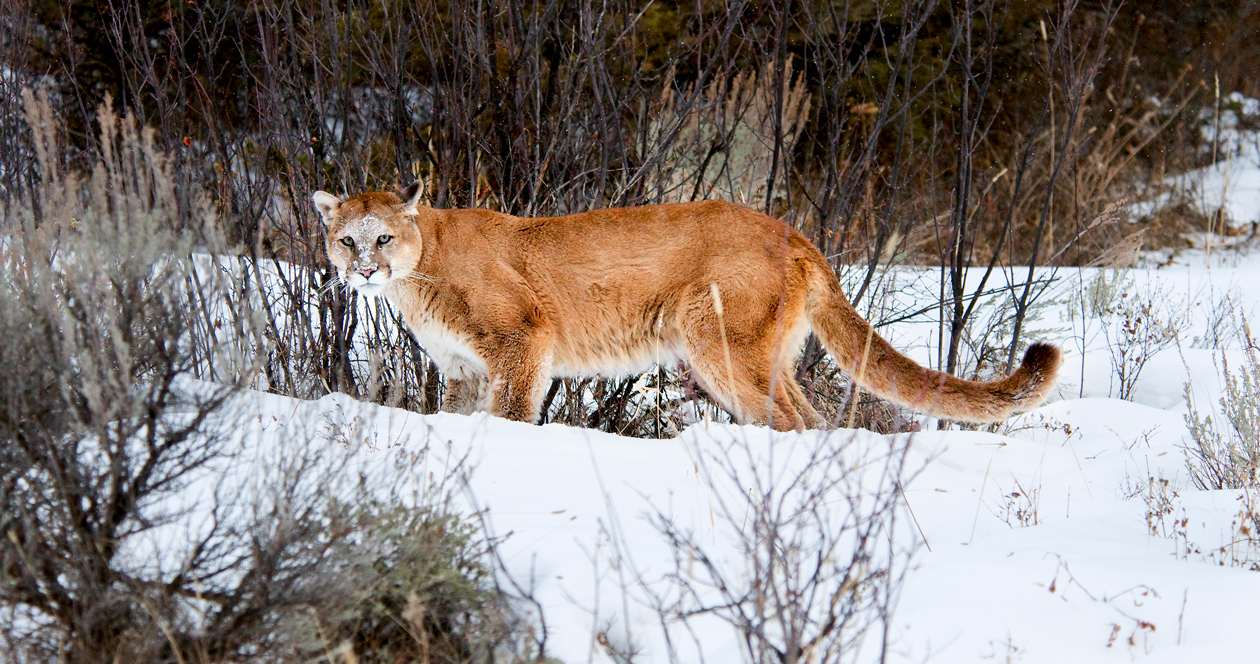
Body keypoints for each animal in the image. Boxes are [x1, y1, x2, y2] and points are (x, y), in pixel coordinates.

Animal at [309, 182, 1058, 430]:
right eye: (347, 239)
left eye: (382, 236)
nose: (365, 269)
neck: (420, 267)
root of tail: (792, 230)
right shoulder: (463, 369)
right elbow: (461, 416)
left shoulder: (523, 340)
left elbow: (513, 413)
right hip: (757, 354)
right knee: (813, 419)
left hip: (718, 343)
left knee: (790, 421)